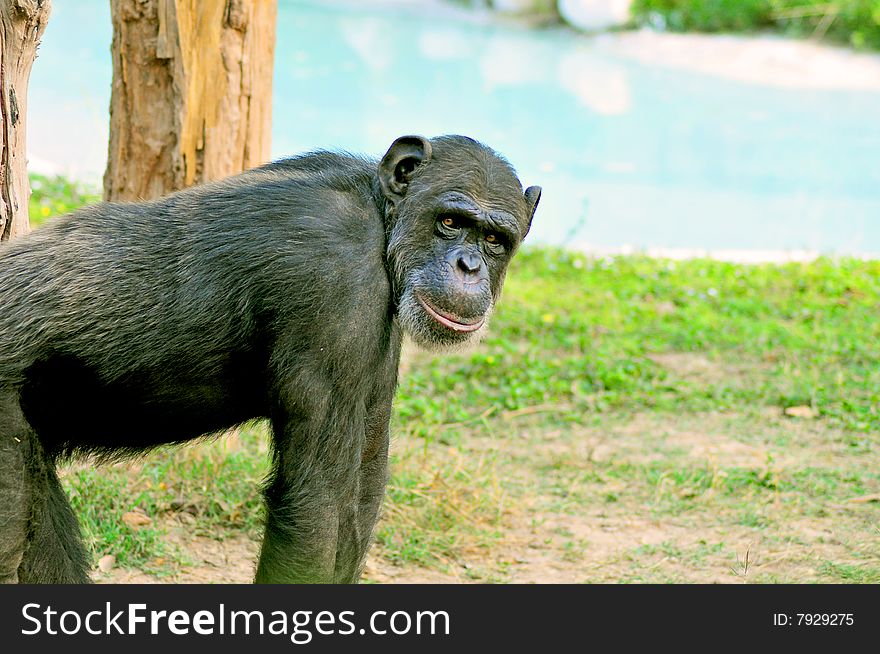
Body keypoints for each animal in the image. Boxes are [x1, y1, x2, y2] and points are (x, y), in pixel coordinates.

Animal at [0, 136, 540, 588]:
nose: (468, 266)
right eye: (450, 222)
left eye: (494, 240)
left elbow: (363, 485)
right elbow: (318, 506)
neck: (381, 214)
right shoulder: (335, 282)